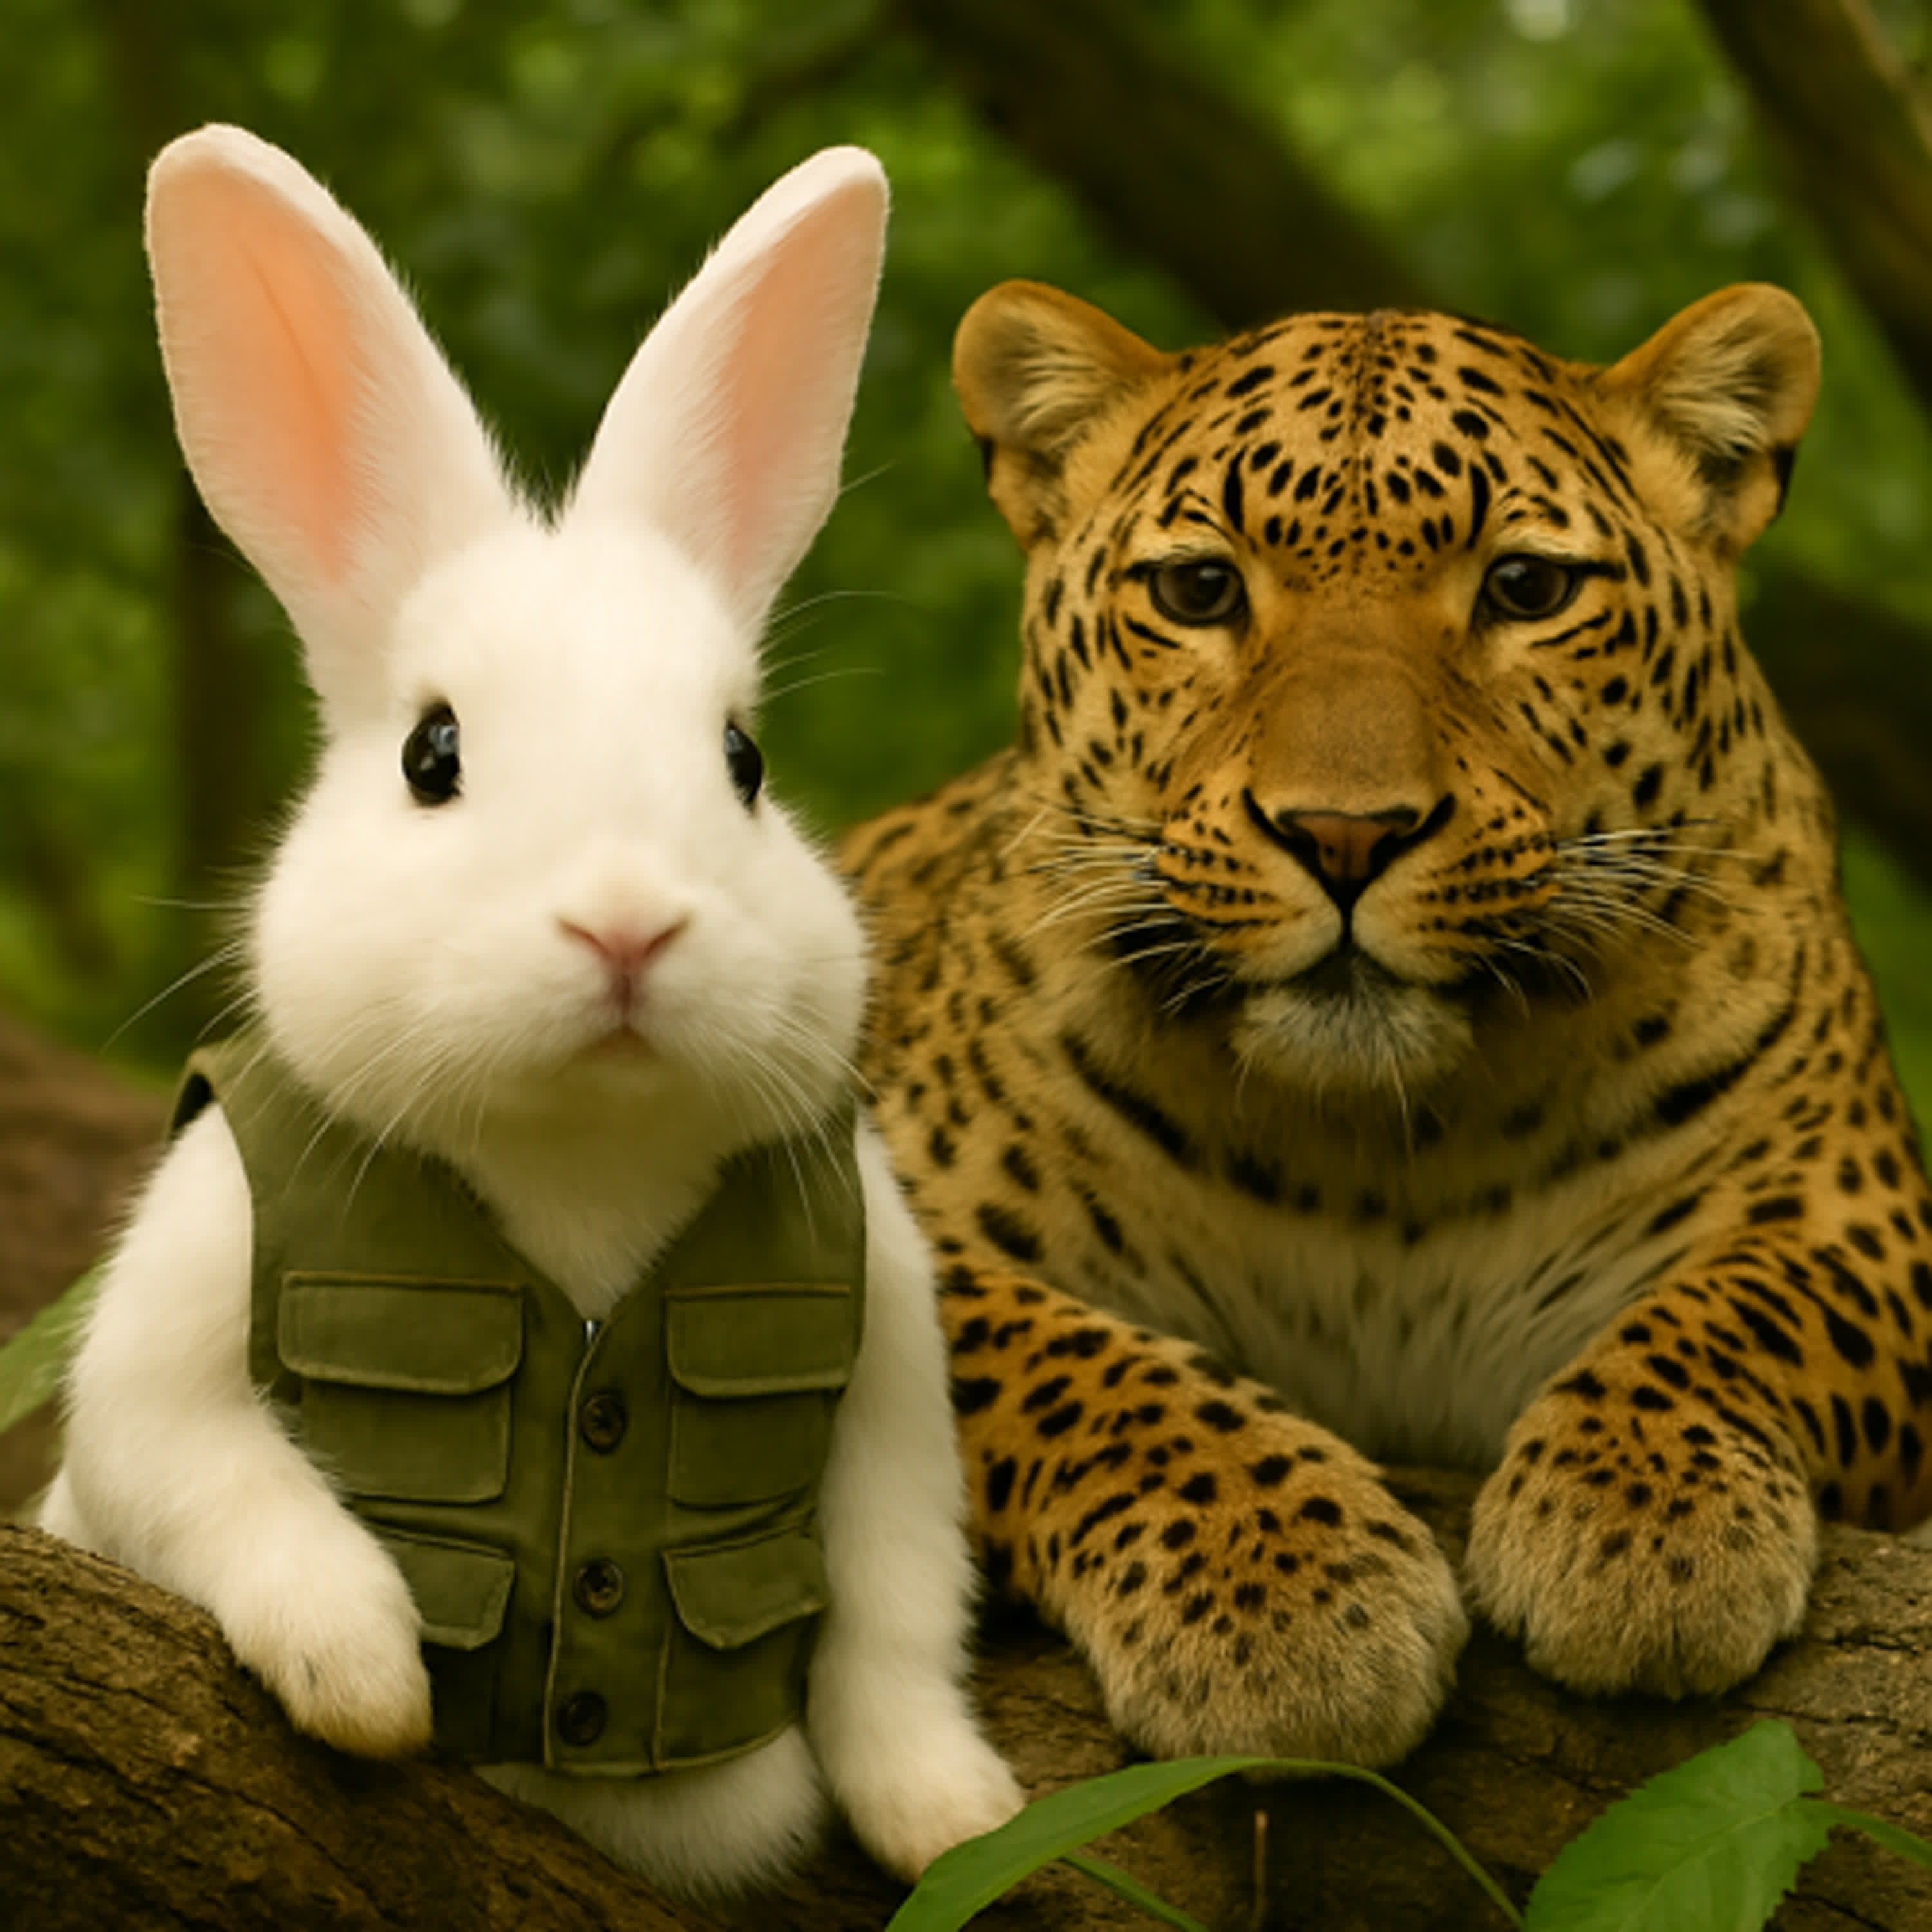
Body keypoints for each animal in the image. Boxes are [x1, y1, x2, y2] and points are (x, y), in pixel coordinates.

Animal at [839, 276, 1932, 1770]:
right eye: (1199, 590)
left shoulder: (1866, 1224)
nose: (1345, 834)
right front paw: (1275, 1583)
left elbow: (1746, 1301)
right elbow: (1056, 1359)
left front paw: (1643, 1516)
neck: (1382, 1151)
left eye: (1527, 589)